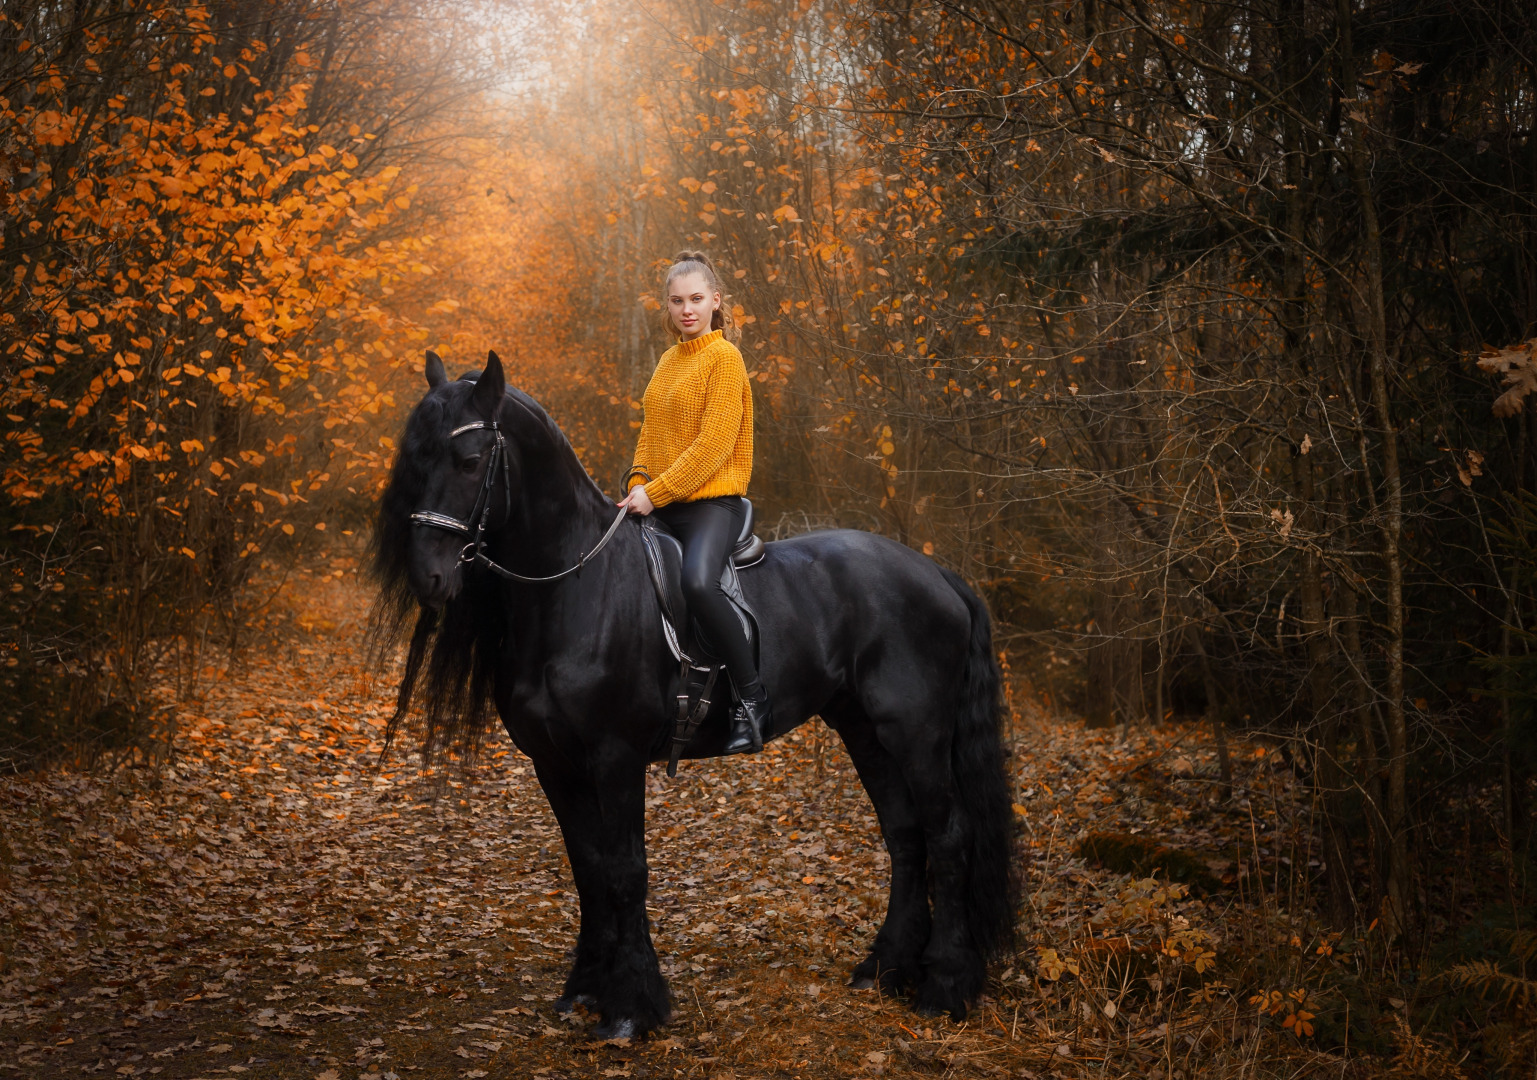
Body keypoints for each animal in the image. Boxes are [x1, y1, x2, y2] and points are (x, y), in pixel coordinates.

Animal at [371, 350, 1020, 1032]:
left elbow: (625, 871)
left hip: (916, 734)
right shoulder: (554, 762)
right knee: (905, 835)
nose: (427, 576)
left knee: (948, 836)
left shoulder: (615, 757)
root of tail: (938, 572)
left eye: (469, 461)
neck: (578, 586)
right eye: (417, 459)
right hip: (866, 732)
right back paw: (885, 969)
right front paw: (585, 987)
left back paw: (944, 987)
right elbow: (588, 868)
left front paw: (632, 1007)